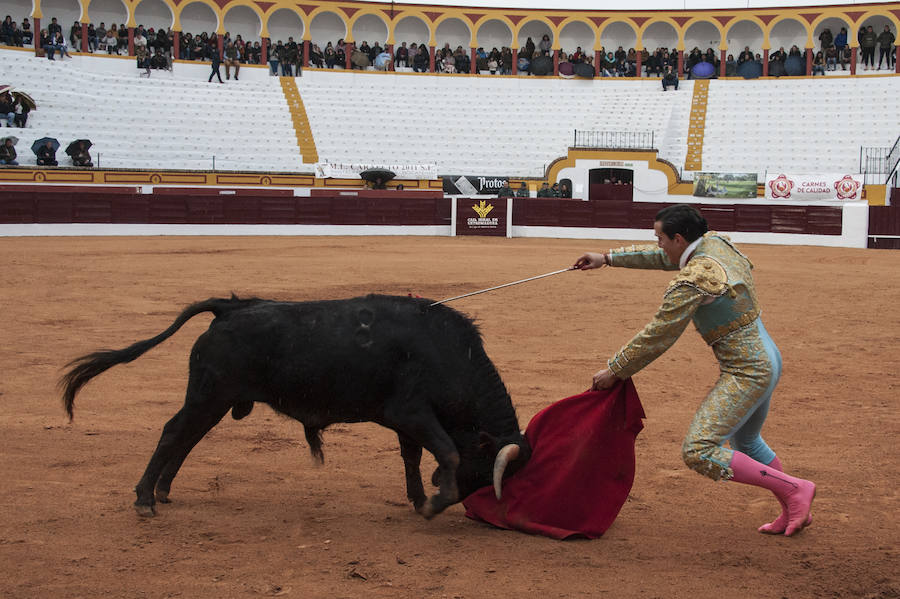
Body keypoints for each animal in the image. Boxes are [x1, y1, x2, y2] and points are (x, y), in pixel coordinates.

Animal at [59, 294, 532, 516]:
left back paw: (162, 490)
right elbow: (445, 451)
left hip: (216, 398)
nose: (462, 501)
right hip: (210, 393)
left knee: (188, 436)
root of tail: (231, 308)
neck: (449, 353)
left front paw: (419, 500)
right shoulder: (409, 413)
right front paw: (433, 503)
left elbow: (413, 457)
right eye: (481, 470)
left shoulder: (408, 422)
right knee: (176, 431)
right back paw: (144, 498)